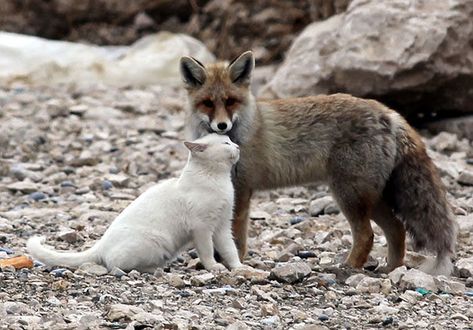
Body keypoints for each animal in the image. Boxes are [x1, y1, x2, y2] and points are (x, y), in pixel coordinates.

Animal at [27, 134, 245, 274]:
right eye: (226, 142)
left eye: (231, 140)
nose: (237, 146)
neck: (218, 180)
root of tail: (101, 244)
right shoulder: (202, 228)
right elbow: (207, 252)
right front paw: (214, 267)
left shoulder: (222, 226)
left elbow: (230, 250)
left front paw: (239, 268)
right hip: (154, 242)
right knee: (116, 265)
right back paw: (156, 270)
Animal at [179, 50, 456, 274]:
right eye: (207, 103)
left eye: (230, 101)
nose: (222, 126)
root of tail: (389, 113)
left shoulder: (243, 188)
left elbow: (235, 236)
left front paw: (233, 261)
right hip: (370, 197)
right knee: (397, 229)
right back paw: (392, 269)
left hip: (349, 195)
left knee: (366, 235)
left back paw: (348, 268)